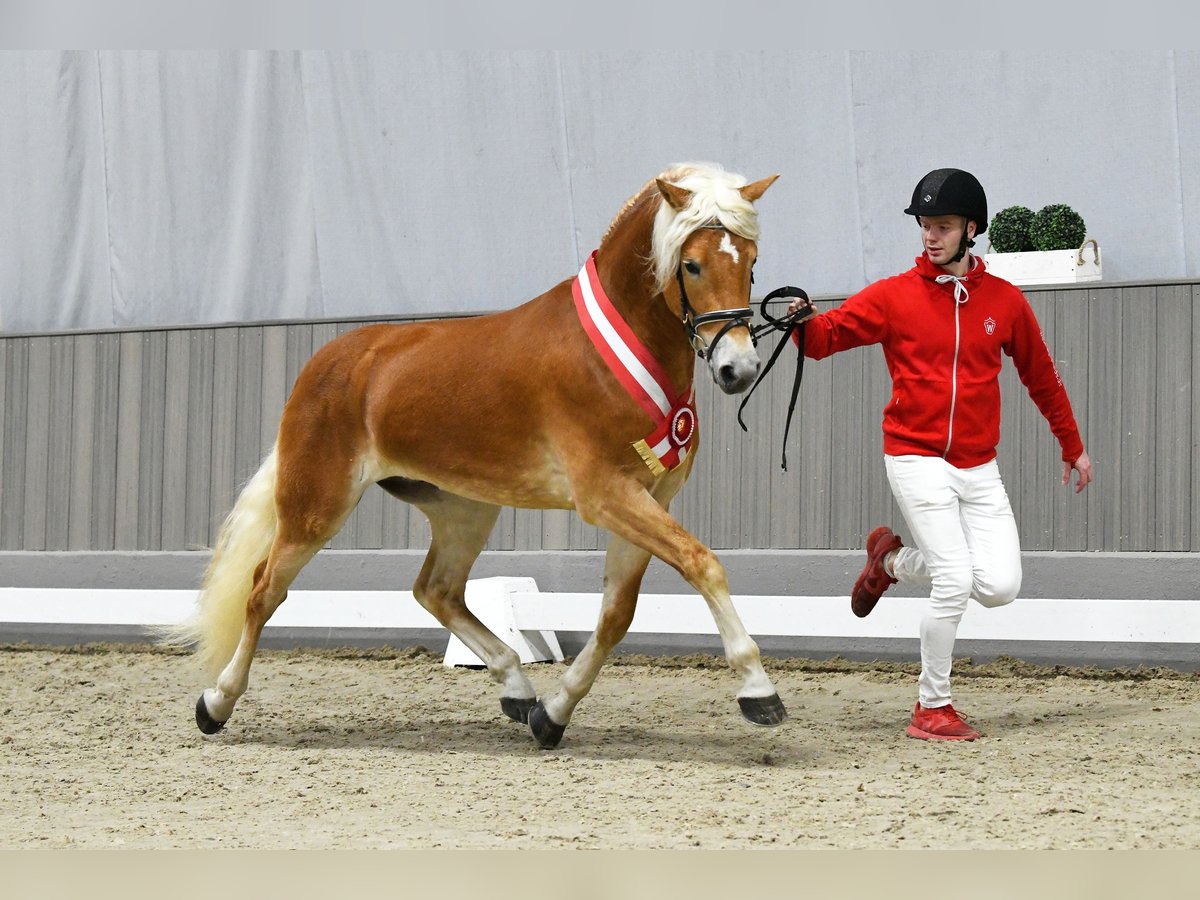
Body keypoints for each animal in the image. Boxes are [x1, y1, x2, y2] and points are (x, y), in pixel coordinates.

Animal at [166, 165, 787, 748]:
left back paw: (517, 688)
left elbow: (617, 614)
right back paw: (215, 703)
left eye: (752, 263)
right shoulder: (606, 494)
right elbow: (702, 563)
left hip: (463, 509)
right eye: (693, 265)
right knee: (263, 590)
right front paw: (759, 691)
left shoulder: (649, 494)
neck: (609, 354)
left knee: (435, 590)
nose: (738, 370)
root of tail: (328, 362)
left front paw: (552, 715)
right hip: (316, 505)